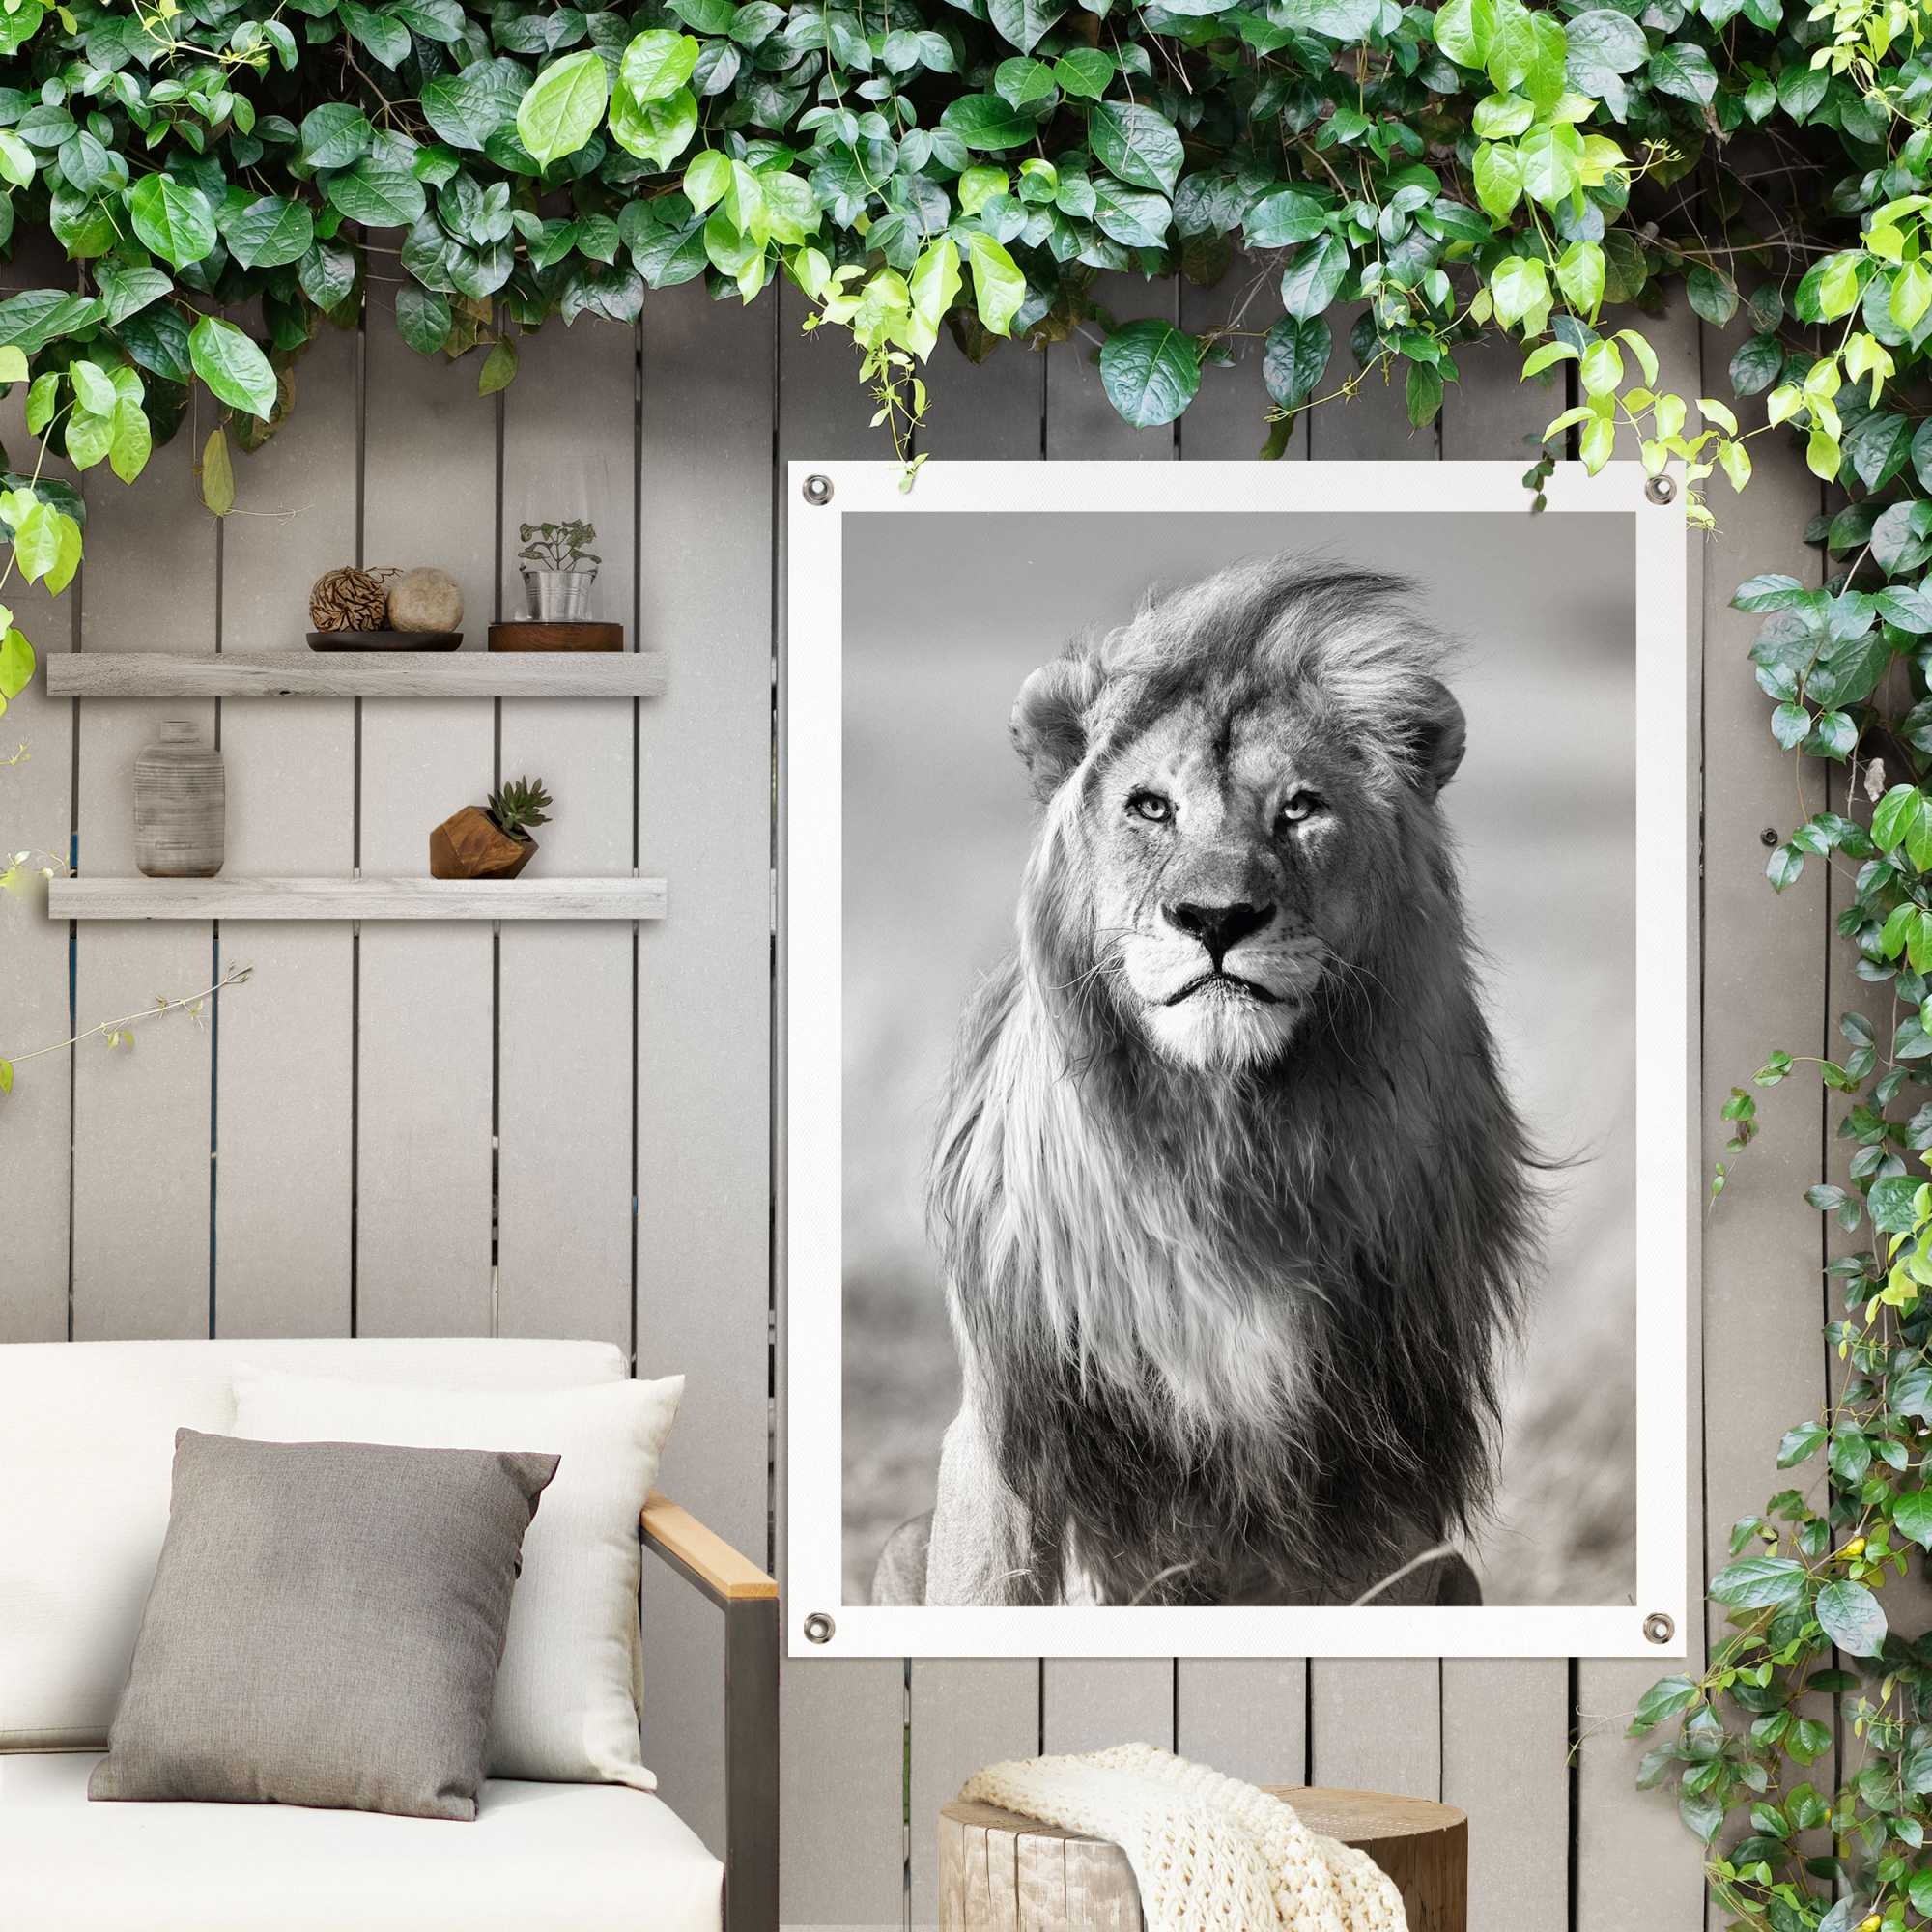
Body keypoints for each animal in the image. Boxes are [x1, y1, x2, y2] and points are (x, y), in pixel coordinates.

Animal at [871, 555, 1541, 1609]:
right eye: (1151, 806)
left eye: (1299, 807)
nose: (1215, 917)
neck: (1224, 1146)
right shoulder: (1016, 1422)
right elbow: (988, 1583)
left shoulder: (1378, 1467)